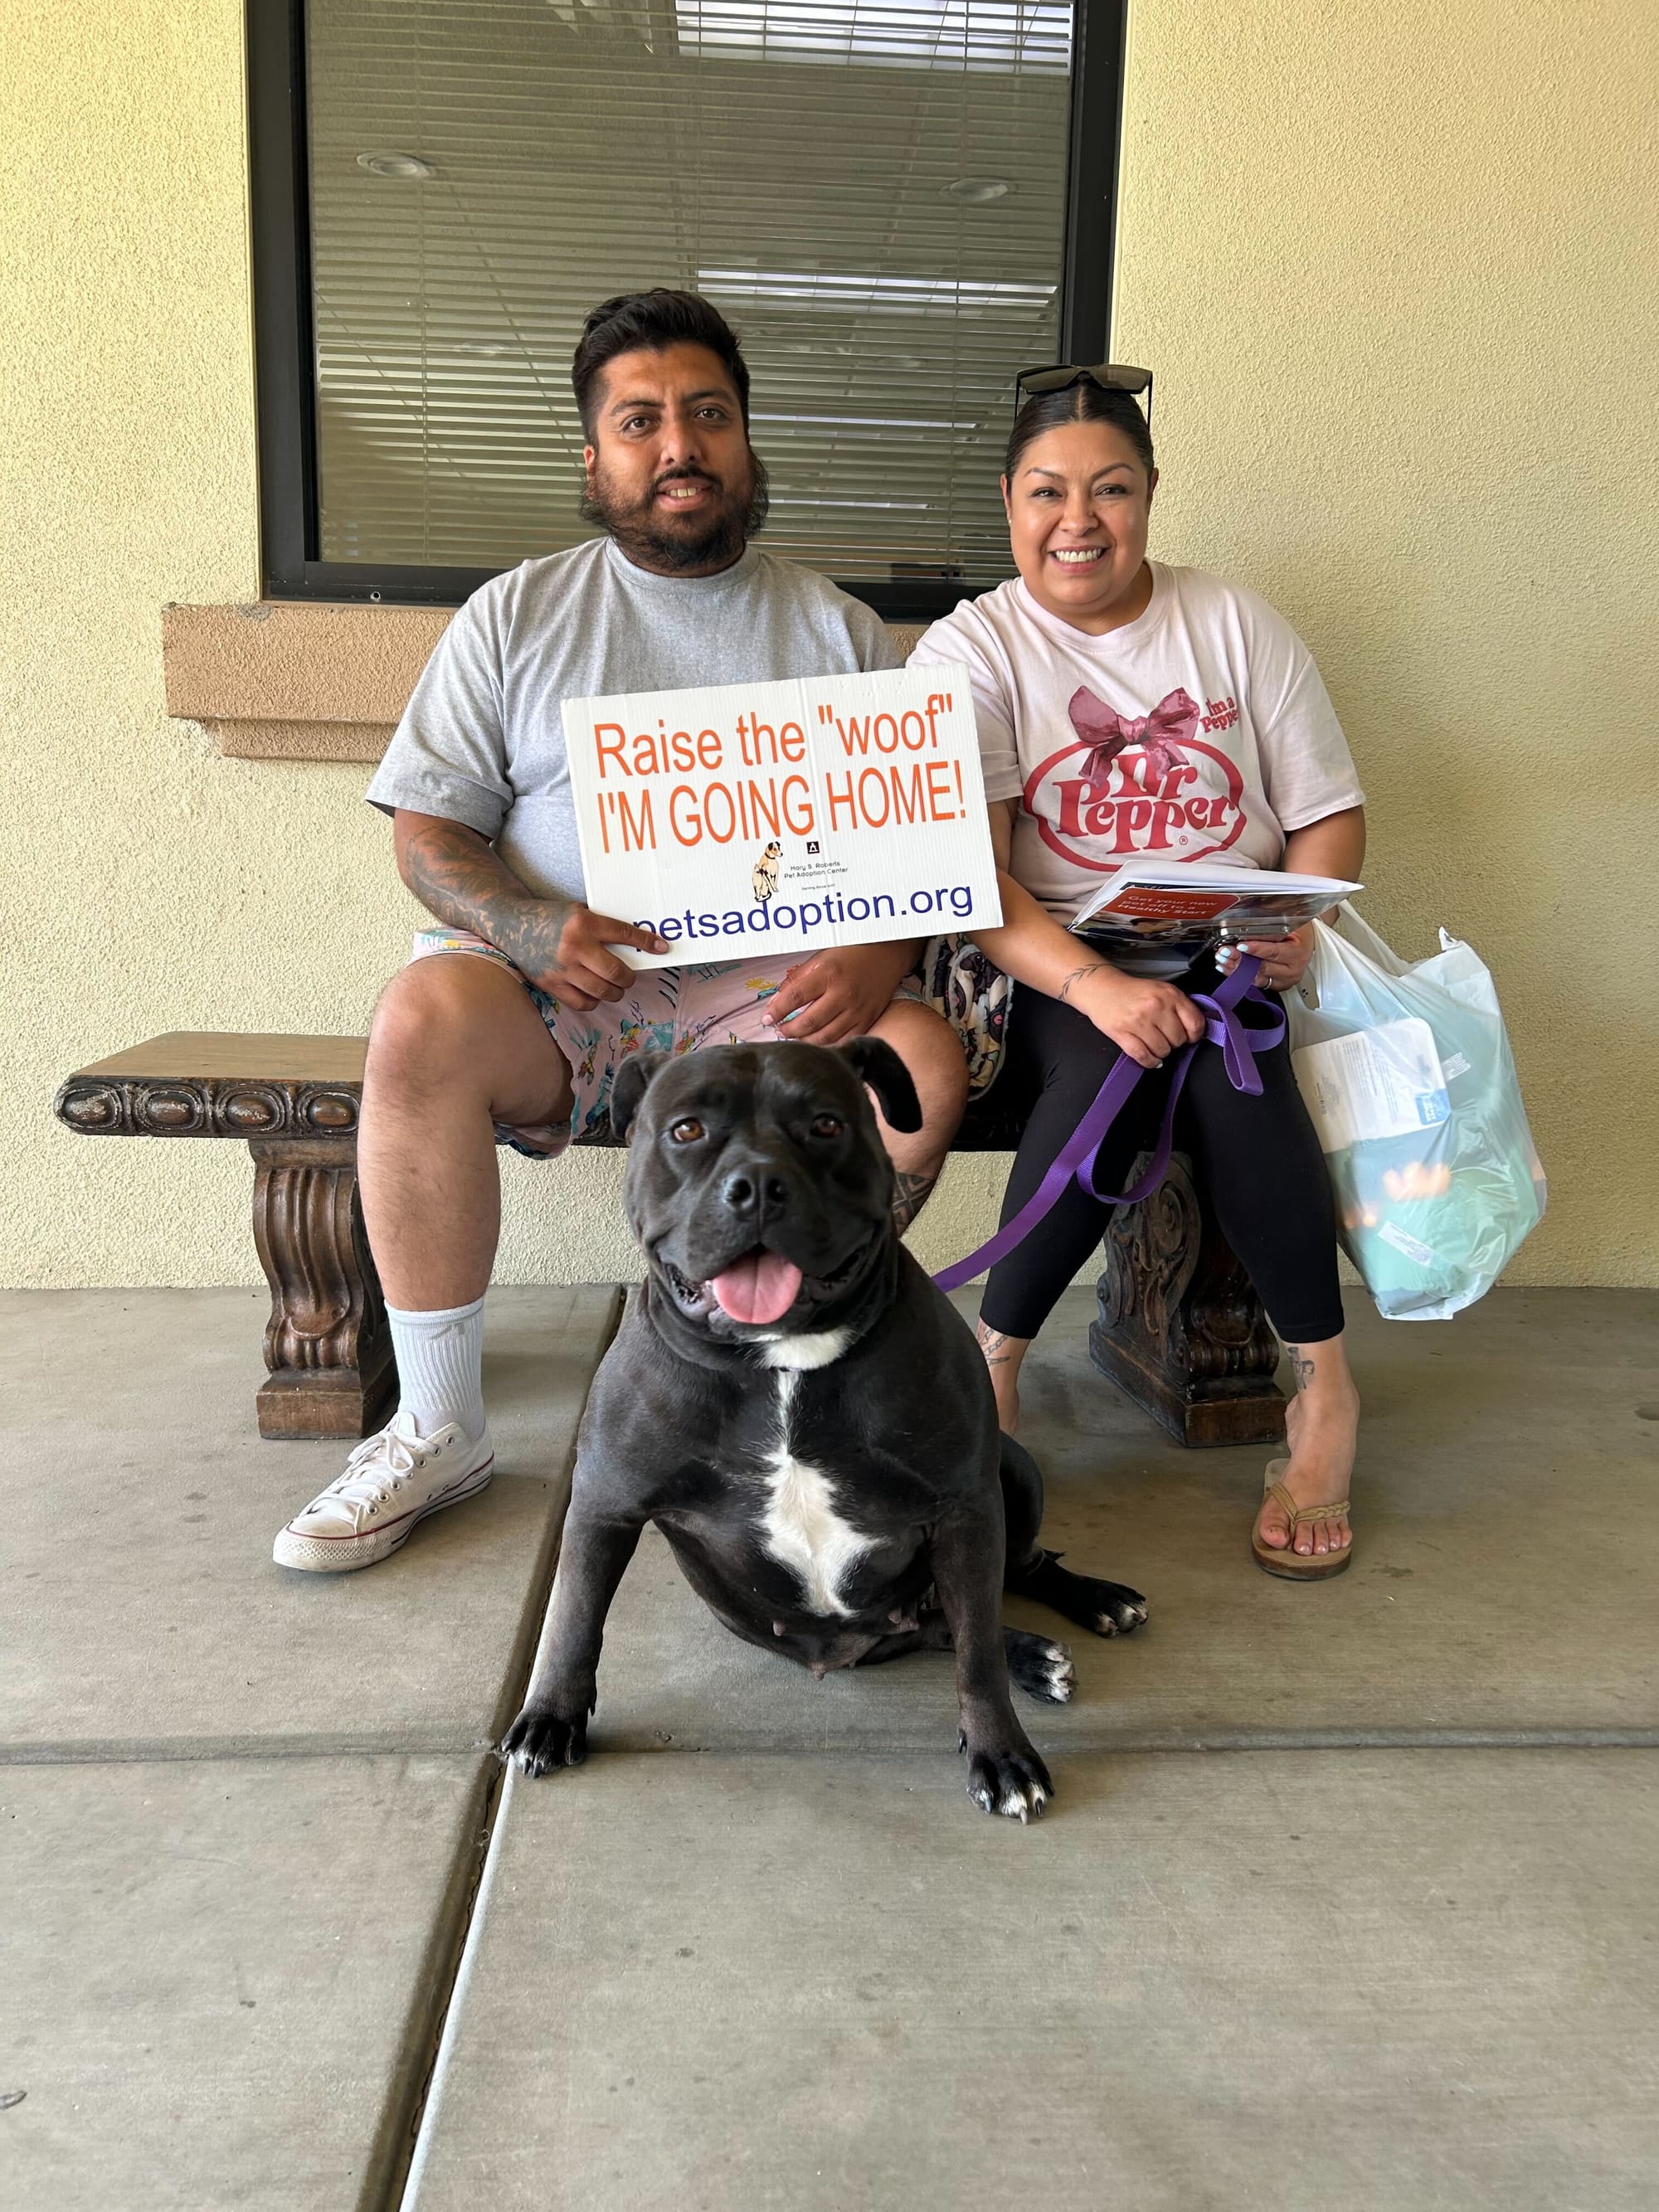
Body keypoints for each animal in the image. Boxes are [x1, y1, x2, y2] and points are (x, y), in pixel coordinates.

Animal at [502, 1038, 1148, 1820]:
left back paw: (1090, 1607)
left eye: (826, 1125)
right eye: (687, 1130)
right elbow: (573, 1618)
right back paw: (1035, 1651)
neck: (783, 1360)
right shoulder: (605, 1504)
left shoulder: (966, 1510)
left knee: (1005, 1587)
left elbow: (979, 1660)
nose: (757, 1183)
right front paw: (551, 1715)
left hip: (1012, 1472)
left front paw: (1001, 1752)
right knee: (948, 1626)